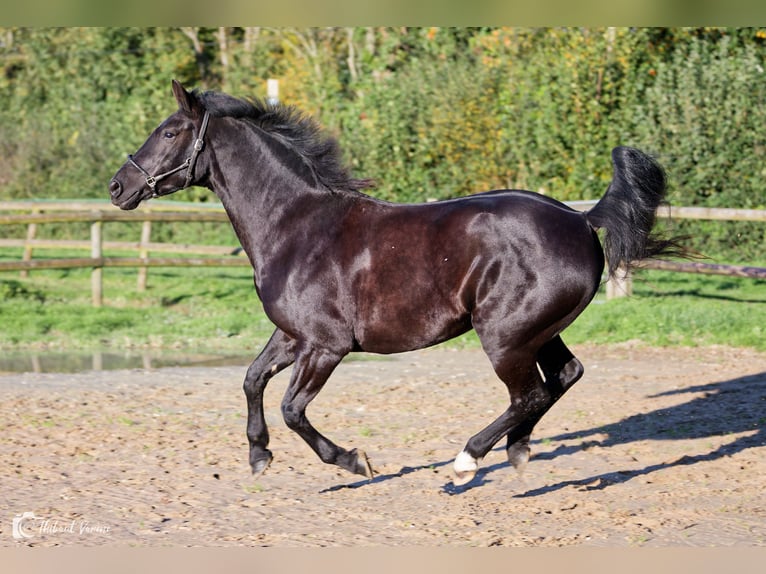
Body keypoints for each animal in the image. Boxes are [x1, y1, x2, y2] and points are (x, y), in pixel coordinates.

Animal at [111, 80, 680, 486]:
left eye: (169, 132)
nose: (119, 187)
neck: (295, 225)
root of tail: (581, 219)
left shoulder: (326, 346)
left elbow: (293, 408)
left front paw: (352, 460)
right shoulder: (294, 336)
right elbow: (252, 380)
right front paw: (258, 455)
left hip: (504, 336)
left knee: (531, 393)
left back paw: (467, 462)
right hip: (536, 331)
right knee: (563, 376)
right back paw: (516, 450)